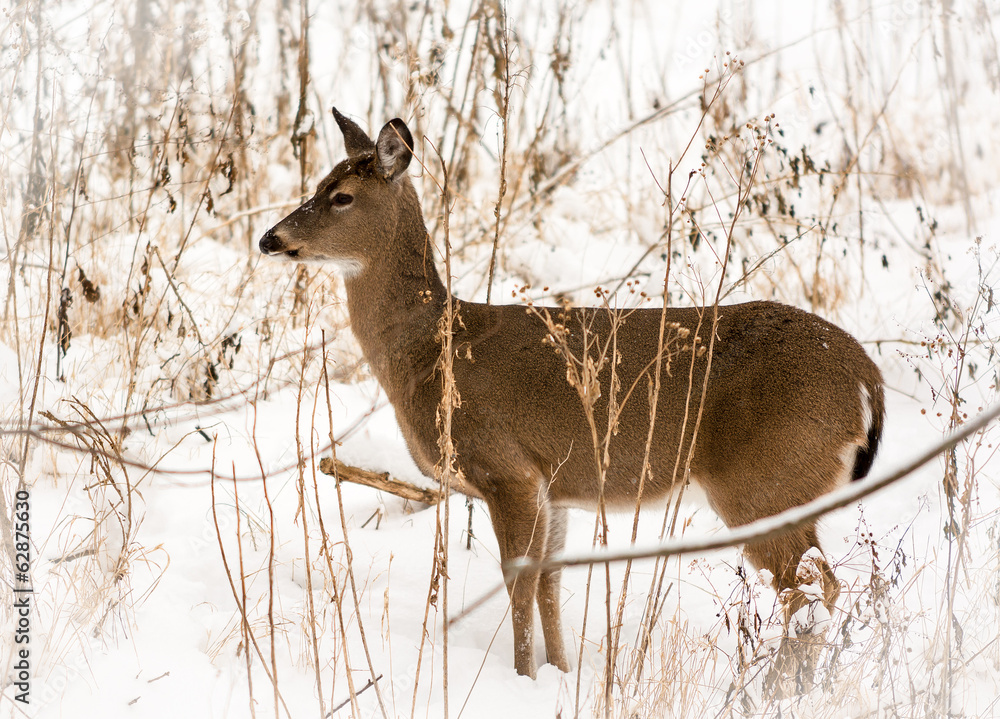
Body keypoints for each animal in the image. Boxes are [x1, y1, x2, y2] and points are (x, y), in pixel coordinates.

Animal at [259, 108, 885, 679]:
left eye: (341, 196)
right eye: (317, 184)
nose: (270, 238)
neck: (434, 351)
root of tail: (866, 379)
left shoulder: (504, 467)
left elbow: (518, 582)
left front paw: (523, 678)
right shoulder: (552, 484)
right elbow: (551, 583)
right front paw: (559, 672)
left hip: (763, 484)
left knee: (810, 591)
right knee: (827, 586)